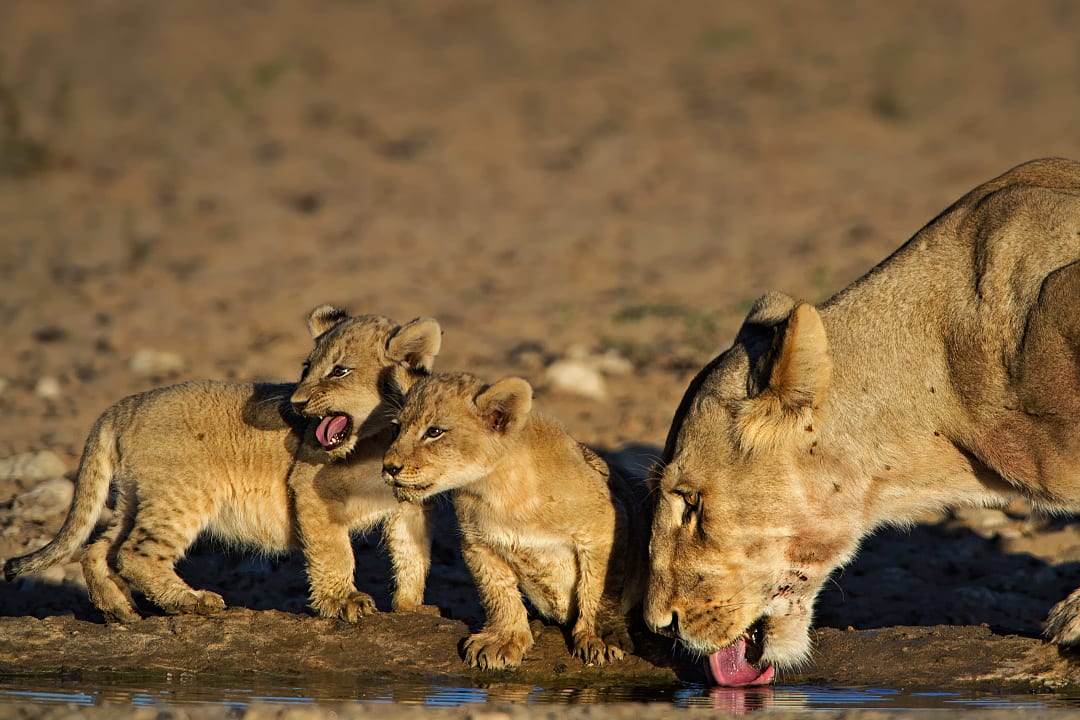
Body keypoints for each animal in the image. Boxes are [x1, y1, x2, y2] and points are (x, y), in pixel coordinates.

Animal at [4, 306, 441, 623]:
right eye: (305, 369)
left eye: (339, 371)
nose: (296, 403)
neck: (380, 437)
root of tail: (124, 406)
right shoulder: (308, 488)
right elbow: (334, 551)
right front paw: (343, 601)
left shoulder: (408, 503)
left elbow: (412, 553)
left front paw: (412, 607)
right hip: (181, 495)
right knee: (133, 554)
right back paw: (190, 601)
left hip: (137, 496)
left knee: (98, 550)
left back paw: (120, 611)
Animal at [382, 372, 647, 669]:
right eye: (396, 428)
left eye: (434, 432)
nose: (389, 467)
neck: (500, 491)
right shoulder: (479, 544)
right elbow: (498, 594)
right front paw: (503, 640)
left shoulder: (605, 525)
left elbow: (596, 587)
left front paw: (598, 636)